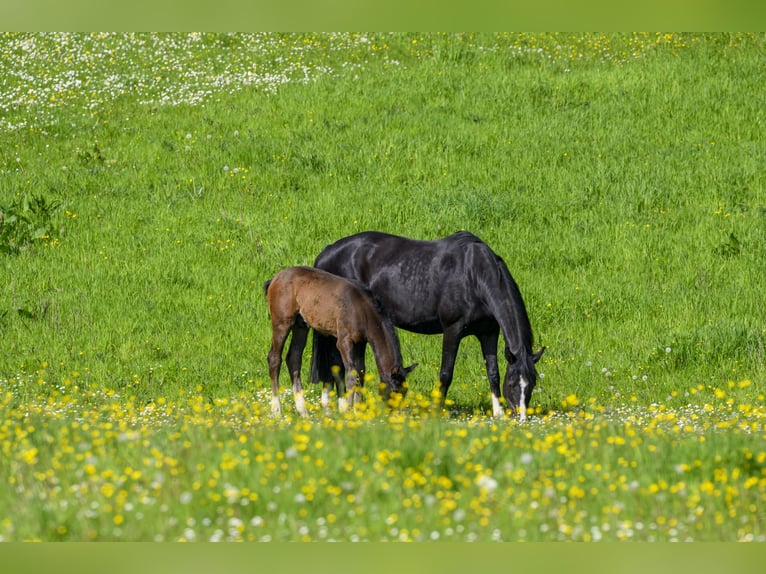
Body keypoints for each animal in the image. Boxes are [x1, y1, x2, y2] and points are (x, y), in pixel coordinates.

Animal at [266, 266, 420, 418]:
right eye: (394, 390)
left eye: (404, 392)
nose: (394, 415)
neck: (363, 310)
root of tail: (275, 279)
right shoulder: (344, 341)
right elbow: (351, 375)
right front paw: (348, 412)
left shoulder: (361, 343)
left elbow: (361, 373)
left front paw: (358, 413)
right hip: (282, 322)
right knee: (274, 358)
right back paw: (277, 411)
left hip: (301, 325)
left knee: (293, 358)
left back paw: (303, 412)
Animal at [312, 231, 544, 424]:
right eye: (513, 384)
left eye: (531, 384)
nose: (521, 418)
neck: (475, 275)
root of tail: (327, 252)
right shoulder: (453, 330)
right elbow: (446, 374)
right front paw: (436, 411)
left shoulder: (488, 333)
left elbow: (493, 372)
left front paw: (498, 413)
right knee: (335, 362)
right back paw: (338, 406)